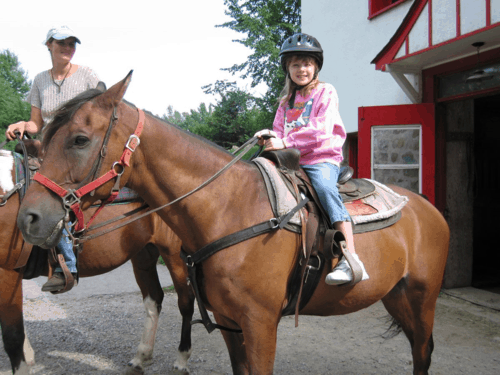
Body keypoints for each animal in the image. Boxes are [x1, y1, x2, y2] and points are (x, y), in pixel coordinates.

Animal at [0, 149, 194, 374]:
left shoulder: (7, 272)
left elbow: (13, 336)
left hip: (174, 255)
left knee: (186, 301)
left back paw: (181, 360)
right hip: (143, 254)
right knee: (154, 299)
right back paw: (141, 357)